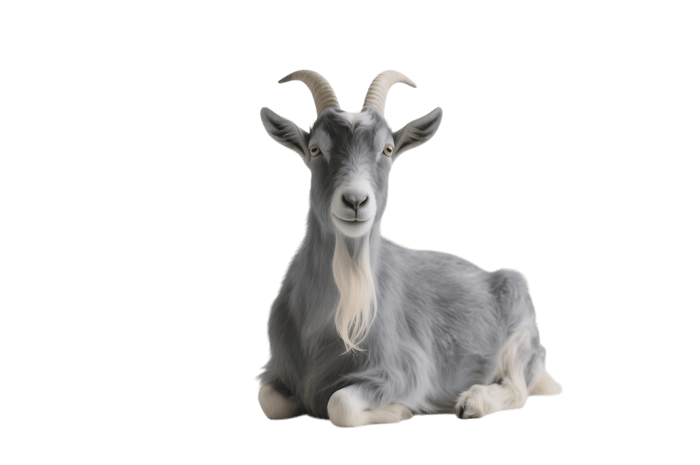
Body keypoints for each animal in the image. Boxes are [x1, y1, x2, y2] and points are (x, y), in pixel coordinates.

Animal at [256, 69, 562, 428]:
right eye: (316, 149)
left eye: (388, 149)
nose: (356, 201)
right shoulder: (277, 371)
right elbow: (269, 402)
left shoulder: (405, 371)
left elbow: (340, 405)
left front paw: (400, 410)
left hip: (519, 330)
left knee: (517, 387)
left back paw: (473, 402)